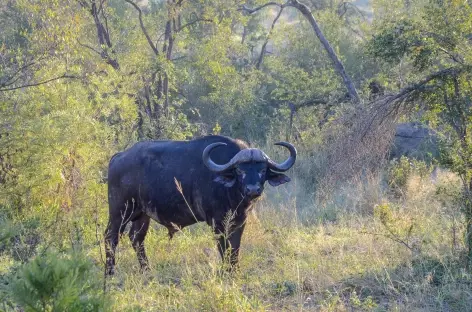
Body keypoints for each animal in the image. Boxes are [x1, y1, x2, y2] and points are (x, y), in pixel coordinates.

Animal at [105, 135, 296, 274]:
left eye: (262, 170)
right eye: (240, 170)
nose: (253, 189)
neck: (233, 195)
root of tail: (118, 157)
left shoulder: (240, 222)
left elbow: (235, 248)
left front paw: (235, 271)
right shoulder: (217, 224)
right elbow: (224, 249)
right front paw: (226, 272)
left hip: (142, 215)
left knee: (136, 238)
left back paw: (146, 270)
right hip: (120, 211)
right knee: (111, 237)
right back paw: (110, 271)